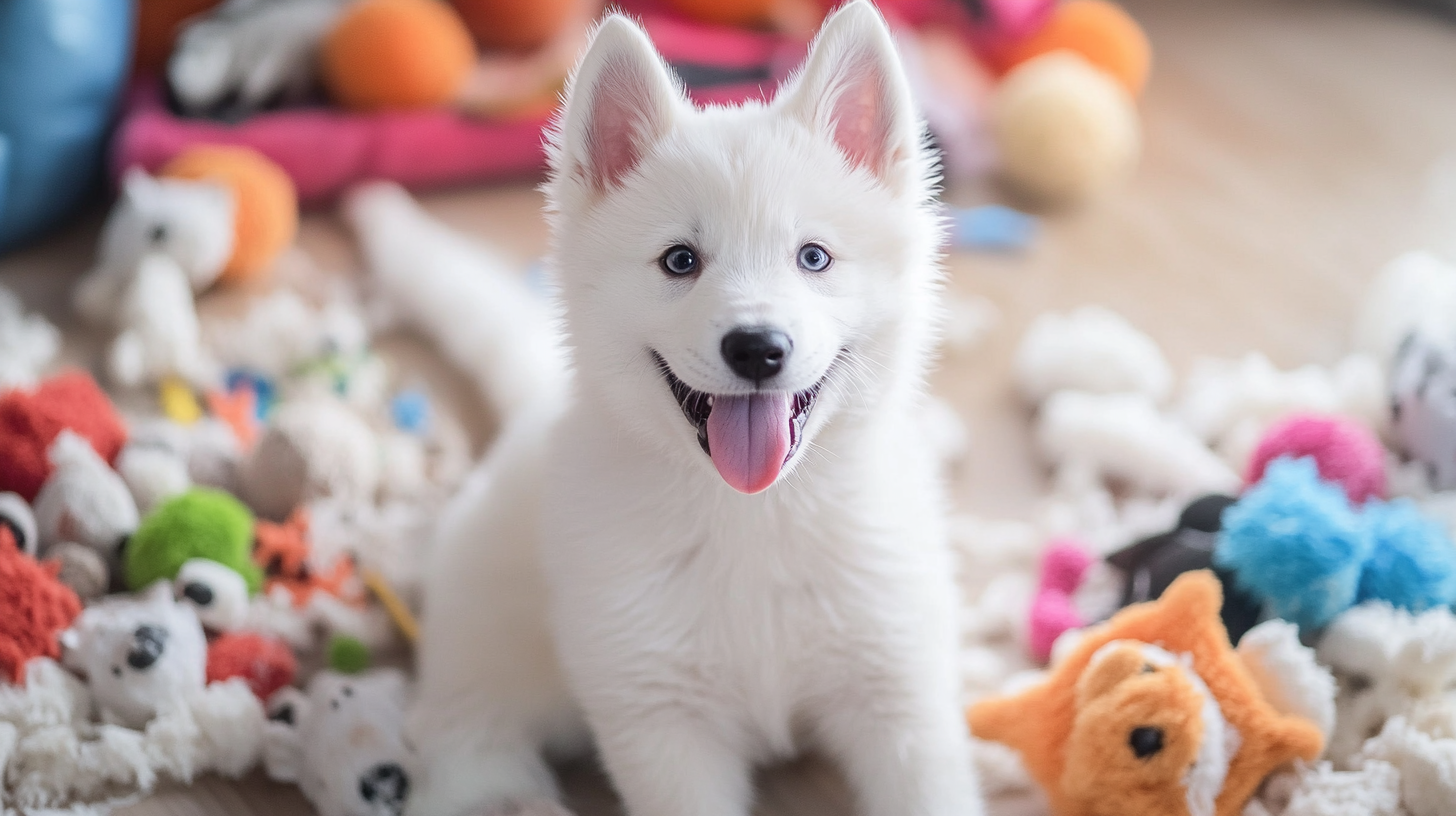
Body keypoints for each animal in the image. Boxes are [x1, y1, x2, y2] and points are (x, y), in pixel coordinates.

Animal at [393, 3, 978, 810]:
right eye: (680, 261)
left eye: (814, 257)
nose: (757, 348)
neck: (753, 513)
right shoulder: (661, 718)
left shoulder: (899, 692)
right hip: (489, 636)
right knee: (464, 725)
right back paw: (496, 791)